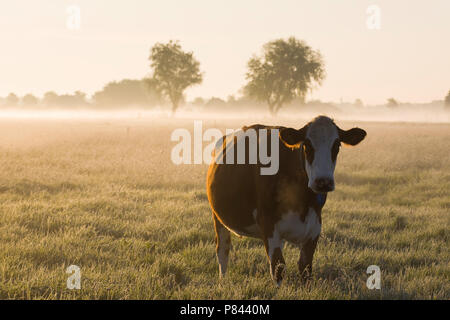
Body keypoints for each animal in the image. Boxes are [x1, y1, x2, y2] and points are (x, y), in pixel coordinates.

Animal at [207, 116, 366, 286]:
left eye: (337, 145)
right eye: (307, 145)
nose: (323, 182)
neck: (303, 201)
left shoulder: (315, 227)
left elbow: (305, 268)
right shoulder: (268, 224)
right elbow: (278, 267)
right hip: (218, 217)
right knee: (223, 250)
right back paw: (223, 281)